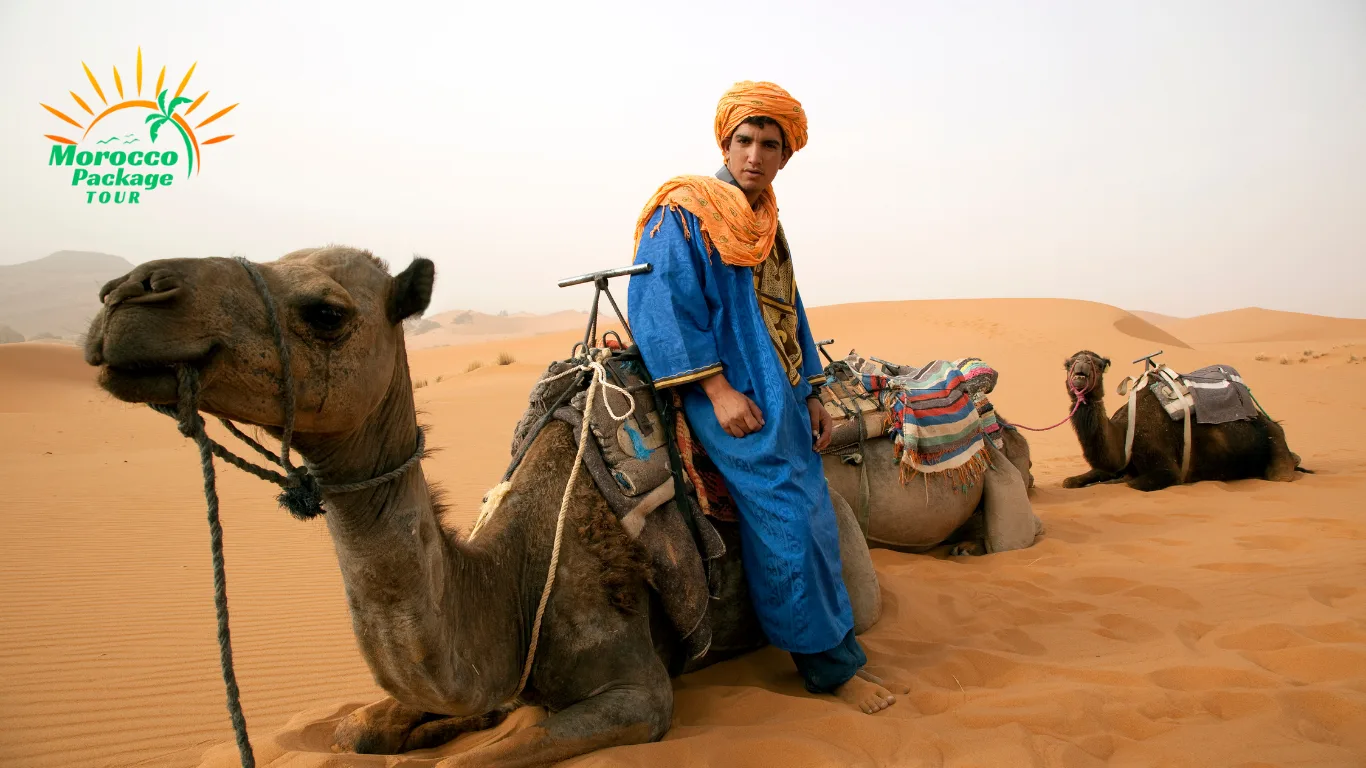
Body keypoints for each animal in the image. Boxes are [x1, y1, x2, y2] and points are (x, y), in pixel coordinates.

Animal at [82, 246, 894, 768]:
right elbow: (360, 732)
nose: (127, 295)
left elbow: (473, 760)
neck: (513, 577)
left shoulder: (638, 695)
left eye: (327, 312)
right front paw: (405, 727)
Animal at [1060, 350, 1302, 492]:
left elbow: (1130, 483)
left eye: (1099, 364)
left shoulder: (1166, 470)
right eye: (1069, 363)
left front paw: (1116, 481)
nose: (1081, 369)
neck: (1123, 434)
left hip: (1274, 444)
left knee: (1281, 472)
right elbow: (1070, 481)